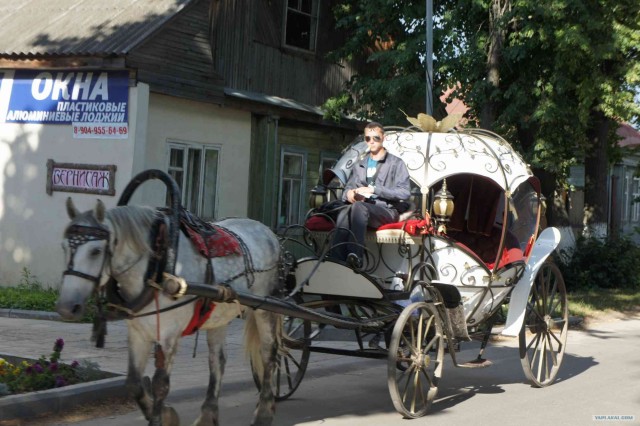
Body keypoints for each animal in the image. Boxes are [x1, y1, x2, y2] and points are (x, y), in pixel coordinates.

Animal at [56, 198, 282, 424]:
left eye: (95, 251)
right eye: (64, 247)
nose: (67, 308)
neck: (156, 268)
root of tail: (267, 231)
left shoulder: (169, 335)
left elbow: (160, 385)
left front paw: (160, 417)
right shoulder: (138, 333)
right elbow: (133, 382)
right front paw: (164, 414)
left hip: (265, 308)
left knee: (268, 353)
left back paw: (264, 411)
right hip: (219, 313)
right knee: (217, 361)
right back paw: (208, 415)